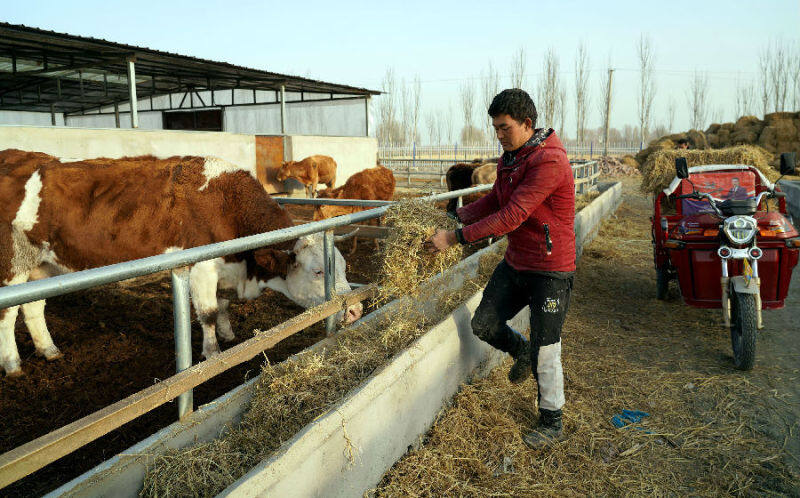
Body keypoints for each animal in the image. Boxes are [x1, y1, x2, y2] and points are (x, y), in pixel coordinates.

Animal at [0, 150, 362, 376]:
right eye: (318, 271)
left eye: (344, 267)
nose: (356, 309)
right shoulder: (202, 268)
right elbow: (209, 312)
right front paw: (213, 352)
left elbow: (223, 305)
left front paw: (229, 335)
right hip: (13, 265)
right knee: (7, 314)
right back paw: (13, 364)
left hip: (43, 265)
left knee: (33, 308)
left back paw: (49, 350)